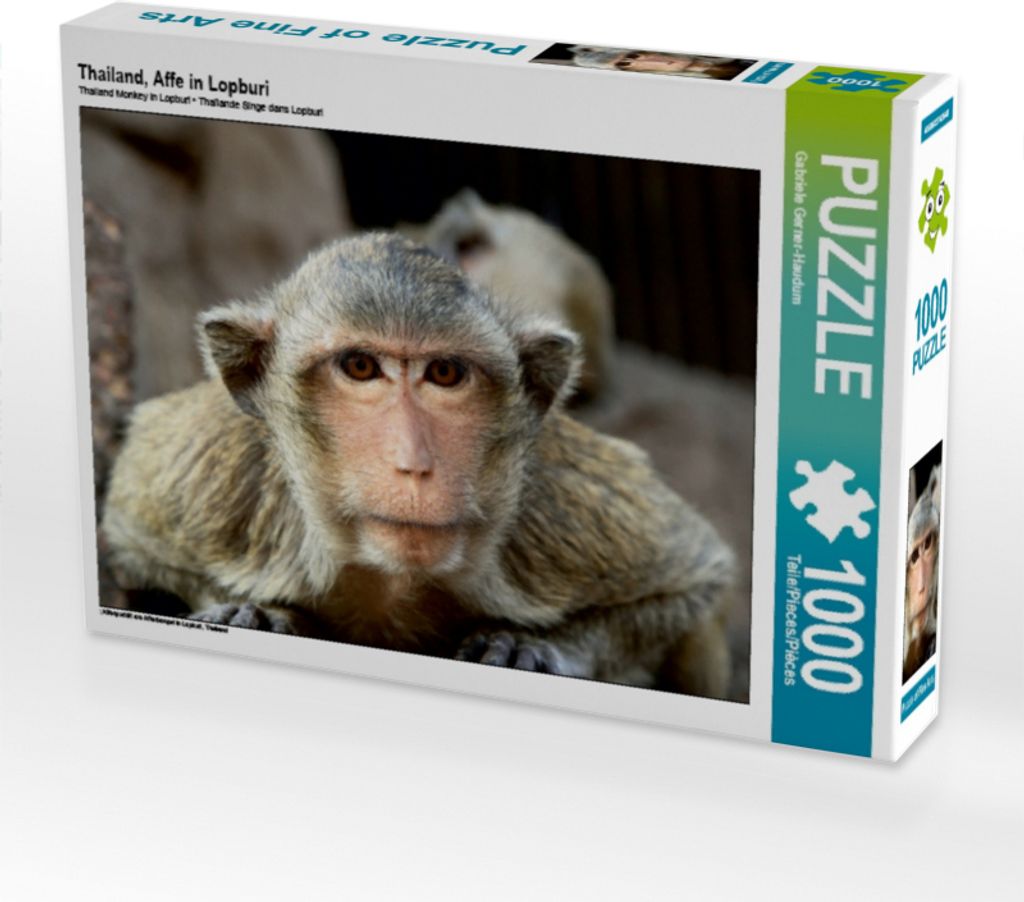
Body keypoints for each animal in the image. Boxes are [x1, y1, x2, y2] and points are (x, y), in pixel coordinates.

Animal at [101, 233, 735, 696]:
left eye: (446, 374)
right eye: (359, 367)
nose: (415, 464)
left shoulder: (552, 511)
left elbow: (694, 578)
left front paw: (538, 647)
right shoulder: (211, 479)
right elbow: (128, 539)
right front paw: (253, 611)